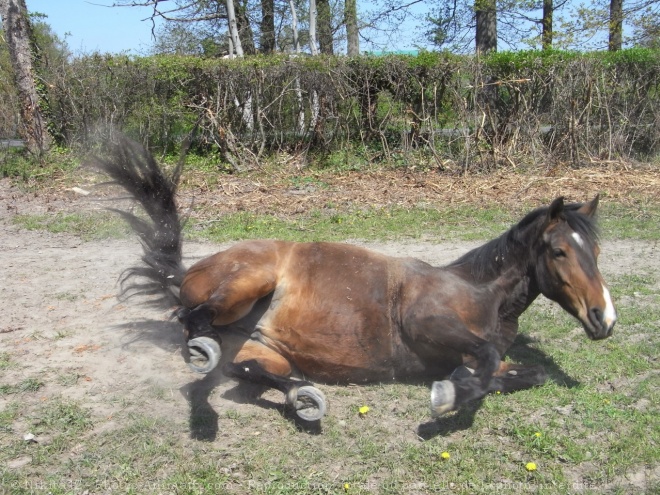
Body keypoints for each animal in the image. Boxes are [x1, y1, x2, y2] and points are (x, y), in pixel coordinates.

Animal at [95, 137, 616, 422]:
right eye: (559, 251)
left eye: (596, 250)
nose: (604, 319)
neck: (475, 291)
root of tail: (190, 270)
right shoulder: (430, 325)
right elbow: (485, 361)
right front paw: (448, 396)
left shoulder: (479, 356)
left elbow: (522, 372)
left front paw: (462, 385)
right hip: (248, 282)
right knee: (190, 319)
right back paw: (203, 356)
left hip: (262, 349)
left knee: (248, 372)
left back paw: (302, 396)